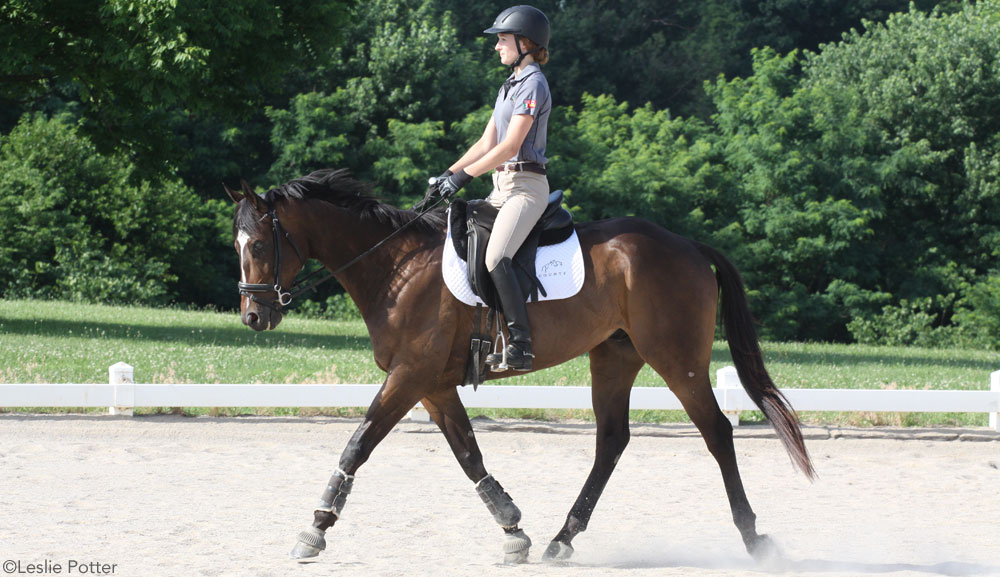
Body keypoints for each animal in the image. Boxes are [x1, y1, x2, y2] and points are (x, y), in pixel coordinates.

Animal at [225, 168, 815, 564]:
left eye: (259, 245)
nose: (254, 316)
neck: (395, 266)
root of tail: (686, 244)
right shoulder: (431, 384)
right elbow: (468, 453)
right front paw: (513, 530)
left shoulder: (409, 376)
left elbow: (359, 443)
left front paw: (315, 529)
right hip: (615, 355)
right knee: (612, 440)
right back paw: (561, 539)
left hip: (675, 356)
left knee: (715, 430)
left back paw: (754, 539)